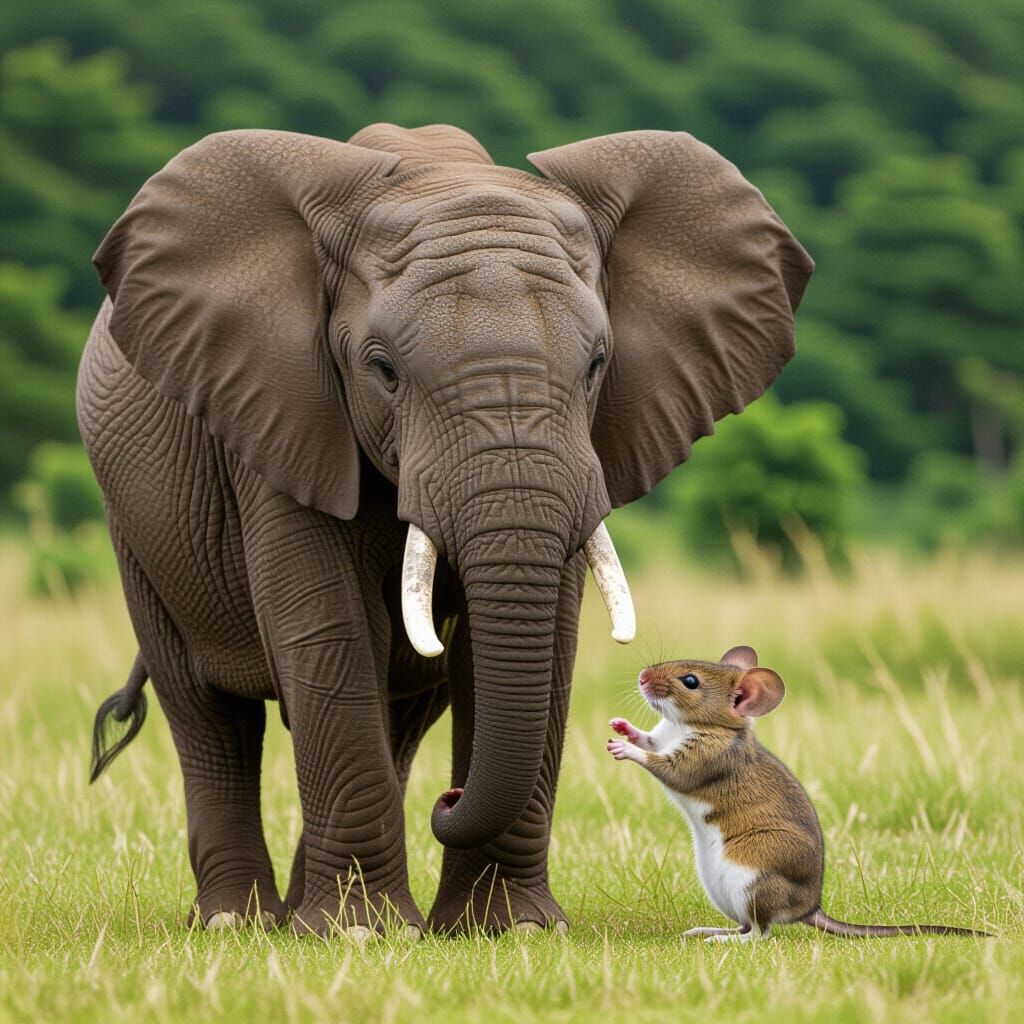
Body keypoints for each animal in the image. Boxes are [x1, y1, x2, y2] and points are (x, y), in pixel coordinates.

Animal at [79, 122, 812, 937]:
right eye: (383, 370)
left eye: (597, 364)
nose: (449, 800)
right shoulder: (277, 414)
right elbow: (328, 632)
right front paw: (359, 934)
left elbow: (539, 643)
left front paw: (510, 928)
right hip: (133, 525)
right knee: (207, 713)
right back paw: (239, 921)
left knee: (400, 715)